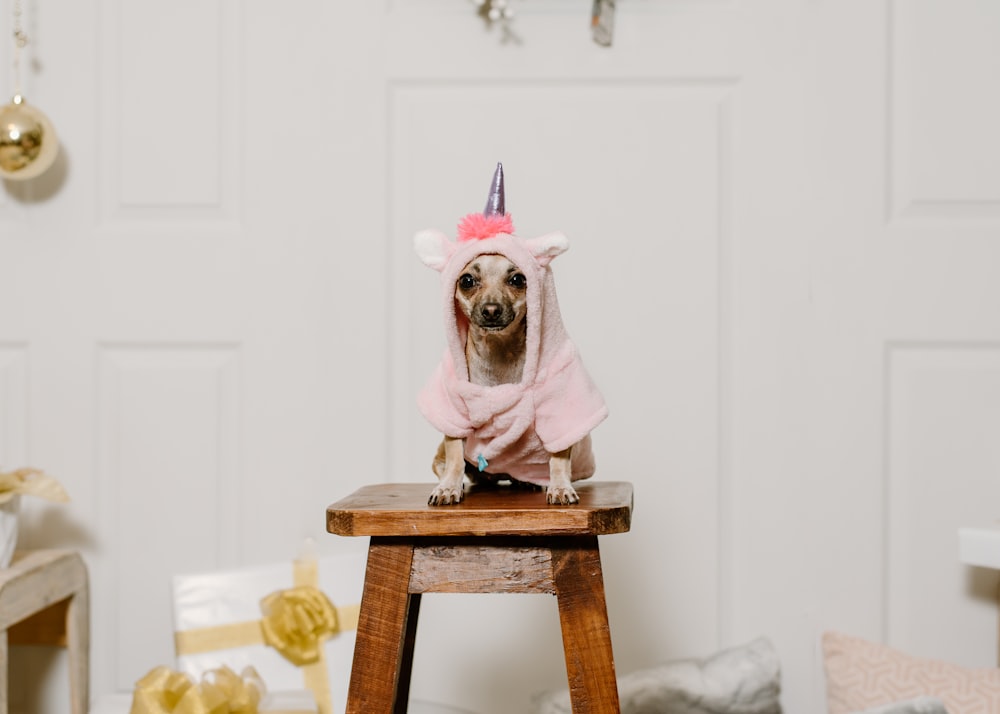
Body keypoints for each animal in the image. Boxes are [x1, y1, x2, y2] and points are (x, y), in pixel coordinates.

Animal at [428, 253, 580, 504]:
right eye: (467, 281)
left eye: (518, 280)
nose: (491, 310)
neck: (498, 350)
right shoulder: (454, 412)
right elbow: (455, 455)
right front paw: (448, 487)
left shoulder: (559, 411)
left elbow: (558, 457)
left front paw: (560, 486)